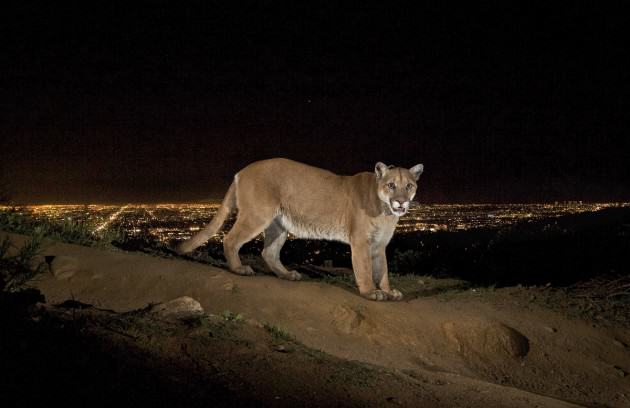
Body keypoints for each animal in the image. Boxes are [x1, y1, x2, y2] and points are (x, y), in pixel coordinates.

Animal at [178, 158, 424, 302]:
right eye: (391, 185)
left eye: (409, 186)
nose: (401, 202)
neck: (386, 212)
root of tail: (242, 170)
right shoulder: (361, 241)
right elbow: (364, 269)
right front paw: (370, 292)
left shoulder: (379, 244)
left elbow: (382, 270)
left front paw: (388, 290)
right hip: (258, 215)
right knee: (230, 239)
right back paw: (239, 269)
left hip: (279, 224)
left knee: (268, 252)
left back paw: (288, 275)